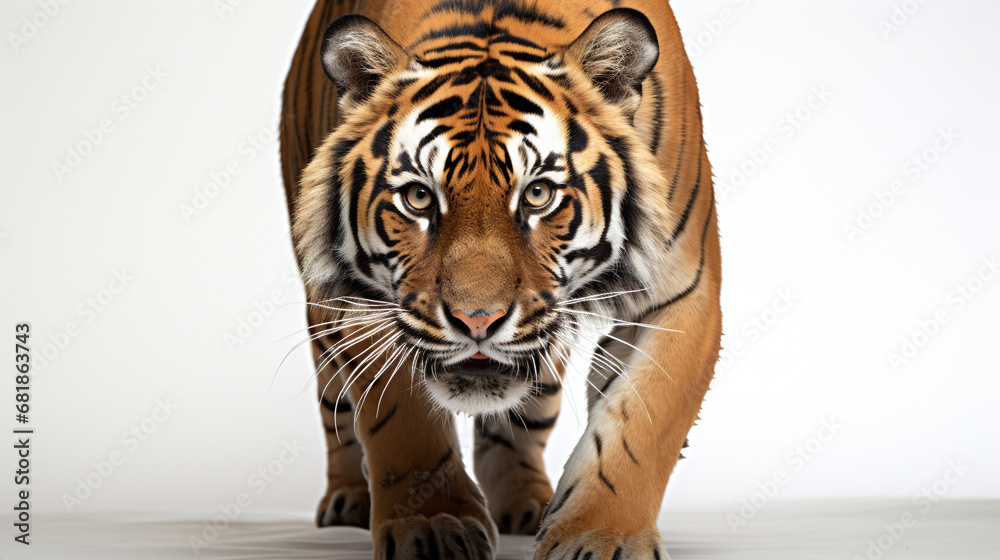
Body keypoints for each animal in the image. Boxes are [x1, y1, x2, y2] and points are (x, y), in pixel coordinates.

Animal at [278, 0, 721, 558]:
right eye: (418, 198)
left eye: (538, 195)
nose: (477, 320)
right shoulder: (370, 305)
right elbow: (400, 422)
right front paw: (431, 523)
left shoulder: (685, 295)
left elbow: (643, 429)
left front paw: (601, 536)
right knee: (335, 407)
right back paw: (349, 500)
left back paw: (524, 502)